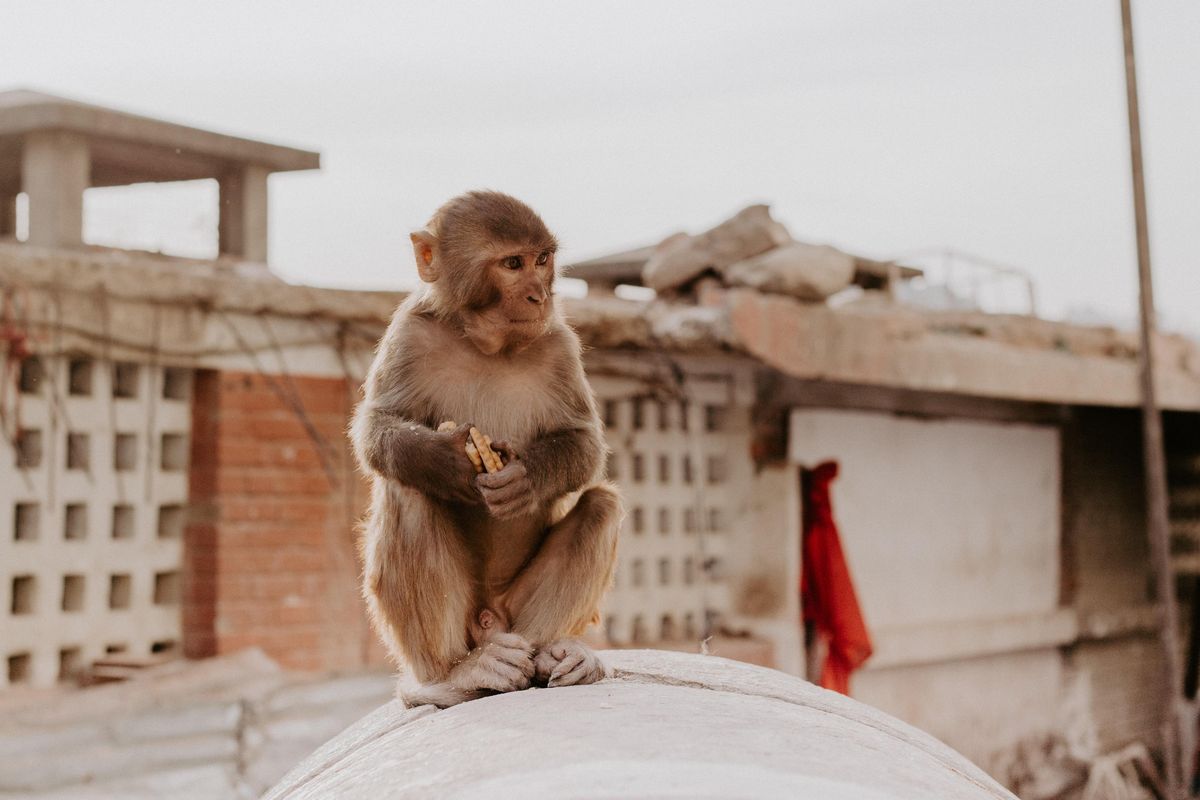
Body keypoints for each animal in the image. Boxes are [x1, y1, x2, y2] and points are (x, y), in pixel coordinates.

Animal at [350, 190, 622, 708]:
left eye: (542, 259)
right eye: (513, 264)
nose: (540, 295)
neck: (488, 344)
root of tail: (492, 622)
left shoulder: (558, 342)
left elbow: (584, 443)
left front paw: (525, 480)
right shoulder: (408, 333)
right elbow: (375, 429)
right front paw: (445, 462)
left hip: (515, 613)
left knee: (601, 507)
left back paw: (554, 656)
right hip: (463, 625)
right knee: (406, 491)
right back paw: (453, 676)